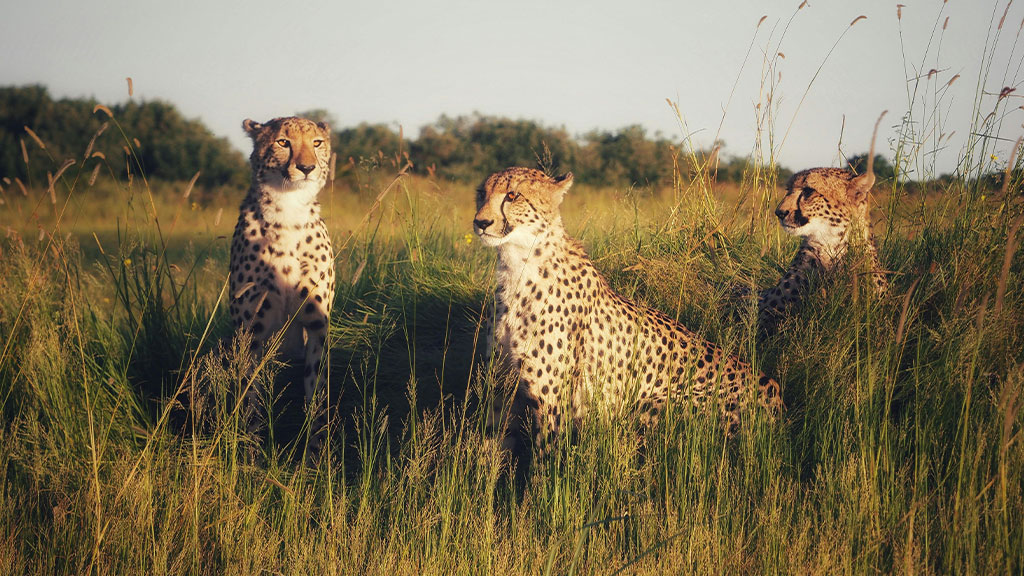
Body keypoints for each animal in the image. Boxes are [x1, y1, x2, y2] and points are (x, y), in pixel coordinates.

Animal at [229, 115, 335, 457]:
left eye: (316, 142)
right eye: (283, 142)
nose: (306, 167)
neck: (288, 210)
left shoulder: (317, 326)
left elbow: (316, 392)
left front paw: (316, 455)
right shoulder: (251, 333)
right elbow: (249, 395)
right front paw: (249, 455)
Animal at [475, 166, 778, 457]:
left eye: (512, 195)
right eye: (481, 193)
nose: (480, 222)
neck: (518, 264)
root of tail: (774, 389)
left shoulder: (552, 403)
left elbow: (544, 462)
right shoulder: (499, 388)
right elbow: (489, 454)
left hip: (651, 406)